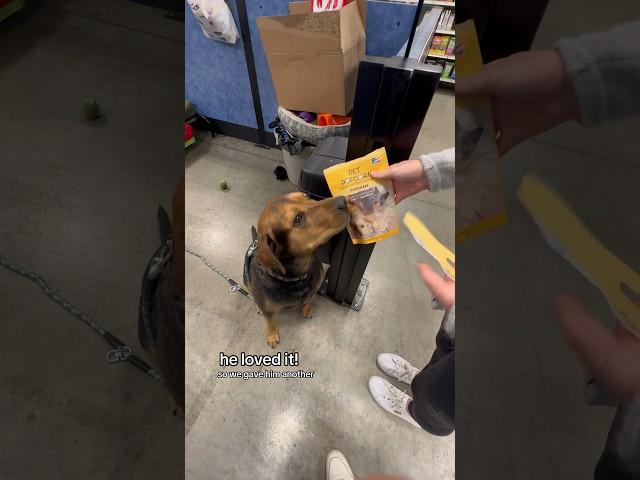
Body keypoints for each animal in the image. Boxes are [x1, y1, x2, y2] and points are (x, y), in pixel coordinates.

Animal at [244, 193, 348, 346]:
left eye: (306, 196)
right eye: (298, 219)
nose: (344, 200)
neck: (297, 278)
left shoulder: (316, 285)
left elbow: (310, 297)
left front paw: (307, 307)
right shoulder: (267, 310)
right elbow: (269, 320)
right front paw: (271, 334)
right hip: (246, 279)